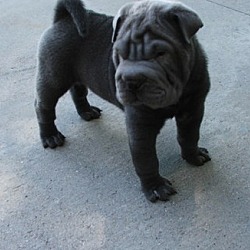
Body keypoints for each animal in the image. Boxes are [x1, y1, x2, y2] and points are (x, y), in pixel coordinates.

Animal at [35, 0, 211, 202]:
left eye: (160, 54)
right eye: (119, 53)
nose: (131, 80)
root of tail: (63, 18)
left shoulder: (193, 109)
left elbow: (190, 136)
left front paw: (194, 156)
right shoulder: (140, 125)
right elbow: (146, 158)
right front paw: (155, 187)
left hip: (76, 75)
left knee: (77, 91)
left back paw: (87, 112)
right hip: (53, 77)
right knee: (44, 106)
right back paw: (50, 136)